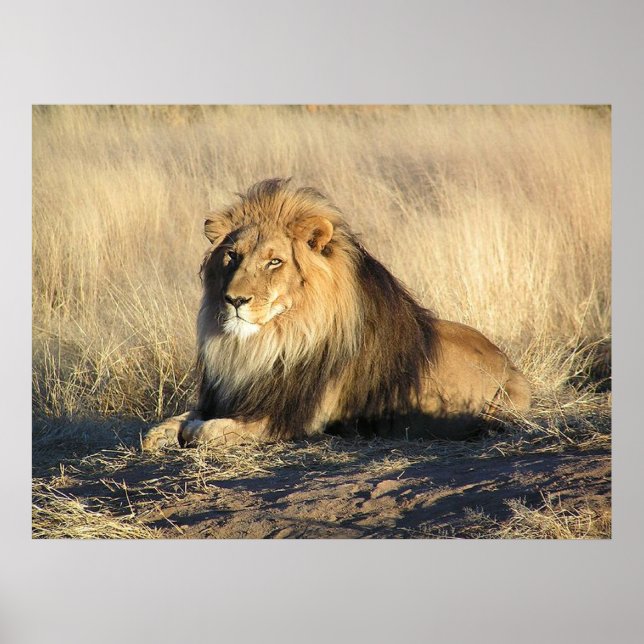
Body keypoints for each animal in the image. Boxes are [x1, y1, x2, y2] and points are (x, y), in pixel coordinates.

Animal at [142, 178, 530, 450]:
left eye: (274, 261)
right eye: (232, 256)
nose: (234, 300)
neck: (269, 342)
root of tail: (508, 361)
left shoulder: (293, 418)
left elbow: (206, 431)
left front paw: (192, 431)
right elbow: (168, 424)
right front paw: (163, 433)